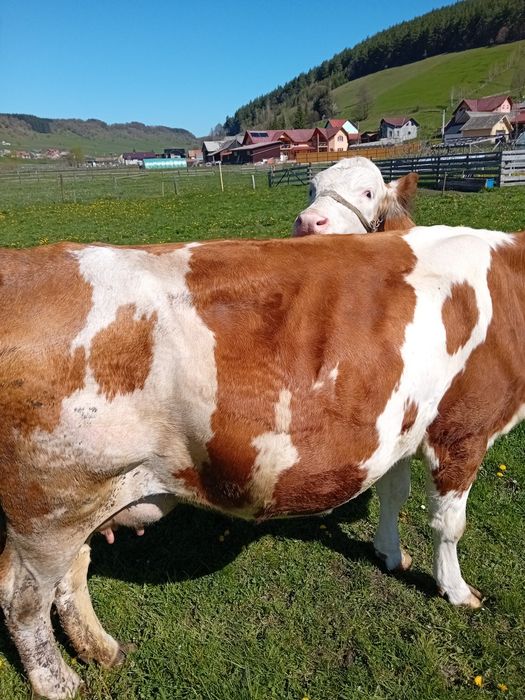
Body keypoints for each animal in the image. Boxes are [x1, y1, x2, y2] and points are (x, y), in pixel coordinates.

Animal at [0, 225, 522, 698]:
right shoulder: (463, 427)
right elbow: (448, 525)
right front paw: (457, 591)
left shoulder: (400, 429)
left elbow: (394, 495)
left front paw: (390, 554)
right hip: (47, 508)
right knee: (23, 598)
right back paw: (57, 682)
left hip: (83, 498)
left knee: (71, 576)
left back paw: (102, 649)